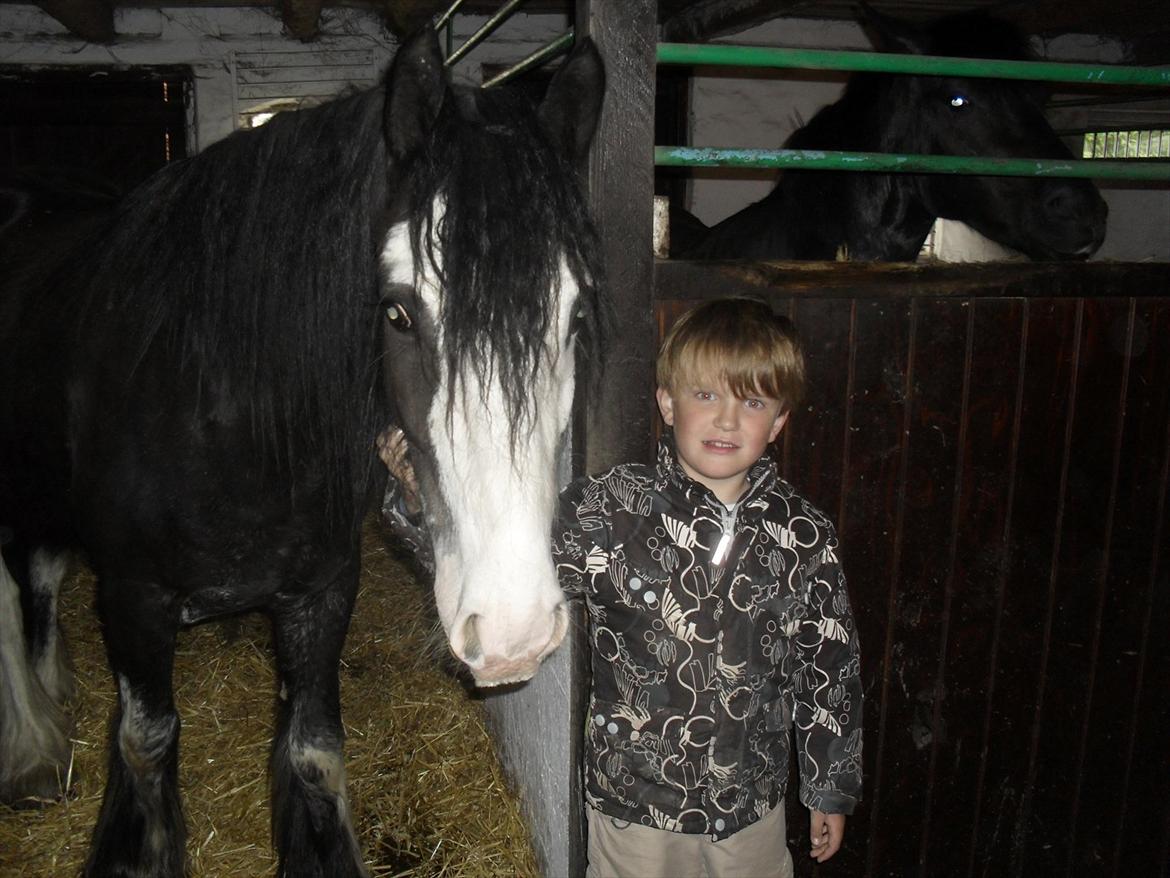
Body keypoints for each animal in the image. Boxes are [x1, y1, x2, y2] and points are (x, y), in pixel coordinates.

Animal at [0, 29, 603, 878]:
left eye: (576, 314)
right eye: (397, 312)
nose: (515, 632)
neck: (215, 417)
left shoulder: (320, 594)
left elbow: (314, 750)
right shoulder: (131, 601)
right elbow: (147, 743)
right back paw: (31, 752)